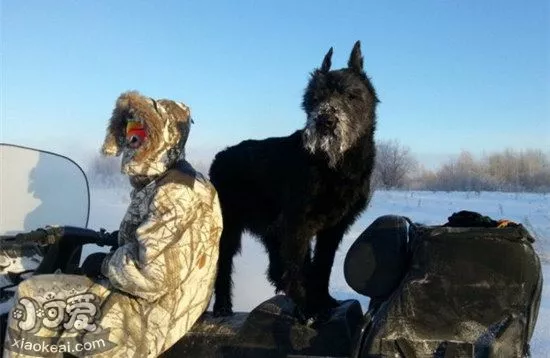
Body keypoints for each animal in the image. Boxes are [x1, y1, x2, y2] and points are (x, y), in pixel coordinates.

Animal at [211, 41, 380, 318]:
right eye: (314, 98)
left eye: (351, 95)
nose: (325, 120)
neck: (334, 166)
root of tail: (219, 157)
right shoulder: (298, 224)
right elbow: (300, 266)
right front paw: (309, 307)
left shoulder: (333, 228)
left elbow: (322, 265)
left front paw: (324, 300)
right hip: (230, 227)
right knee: (224, 263)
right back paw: (223, 305)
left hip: (270, 226)